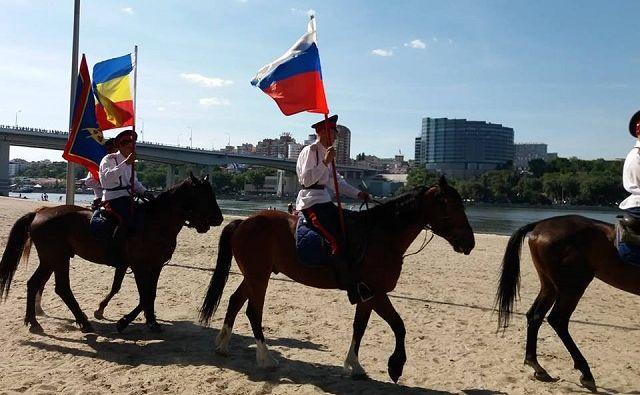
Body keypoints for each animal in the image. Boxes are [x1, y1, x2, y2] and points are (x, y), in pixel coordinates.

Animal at [0, 173, 224, 334]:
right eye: (204, 195)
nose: (219, 219)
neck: (154, 223)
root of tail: (40, 211)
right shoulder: (139, 266)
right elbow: (145, 295)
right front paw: (123, 322)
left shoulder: (155, 266)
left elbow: (148, 294)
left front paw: (151, 321)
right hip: (57, 258)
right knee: (61, 287)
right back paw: (81, 321)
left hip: (50, 259)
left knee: (34, 284)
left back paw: (33, 321)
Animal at [200, 178, 476, 386]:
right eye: (450, 206)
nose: (469, 242)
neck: (382, 236)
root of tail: (243, 222)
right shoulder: (375, 292)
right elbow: (399, 326)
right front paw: (395, 366)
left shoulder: (368, 296)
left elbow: (361, 327)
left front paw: (354, 365)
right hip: (259, 277)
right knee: (253, 311)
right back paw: (265, 358)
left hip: (254, 275)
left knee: (235, 301)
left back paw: (223, 345)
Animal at [496, 215, 640, 394]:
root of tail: (541, 224)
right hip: (574, 285)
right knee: (558, 320)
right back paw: (586, 373)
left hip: (549, 286)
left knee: (535, 315)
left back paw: (537, 366)